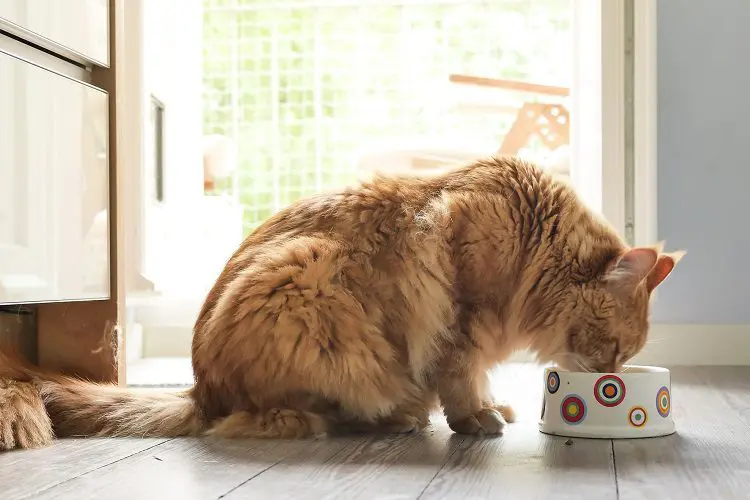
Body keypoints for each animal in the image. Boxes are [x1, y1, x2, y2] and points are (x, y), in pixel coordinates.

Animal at [0, 156, 684, 450]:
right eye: (615, 348)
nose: (612, 376)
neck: (530, 239)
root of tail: (198, 389)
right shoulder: (459, 321)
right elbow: (462, 381)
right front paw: (477, 419)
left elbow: (478, 380)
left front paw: (494, 406)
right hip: (308, 290)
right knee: (272, 419)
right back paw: (383, 421)